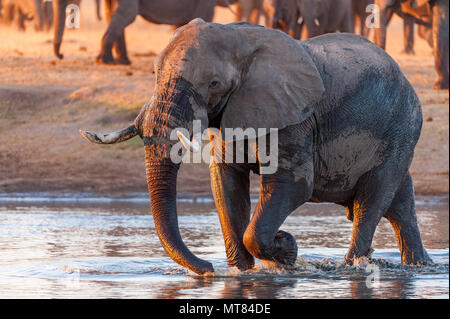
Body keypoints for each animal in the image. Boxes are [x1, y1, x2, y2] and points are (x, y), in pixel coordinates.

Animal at [80, 19, 432, 276]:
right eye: (154, 73)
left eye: (214, 83)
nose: (207, 268)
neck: (238, 36)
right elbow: (226, 183)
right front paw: (244, 273)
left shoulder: (295, 119)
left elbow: (292, 185)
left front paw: (286, 250)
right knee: (400, 205)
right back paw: (420, 266)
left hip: (401, 129)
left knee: (369, 204)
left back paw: (350, 268)